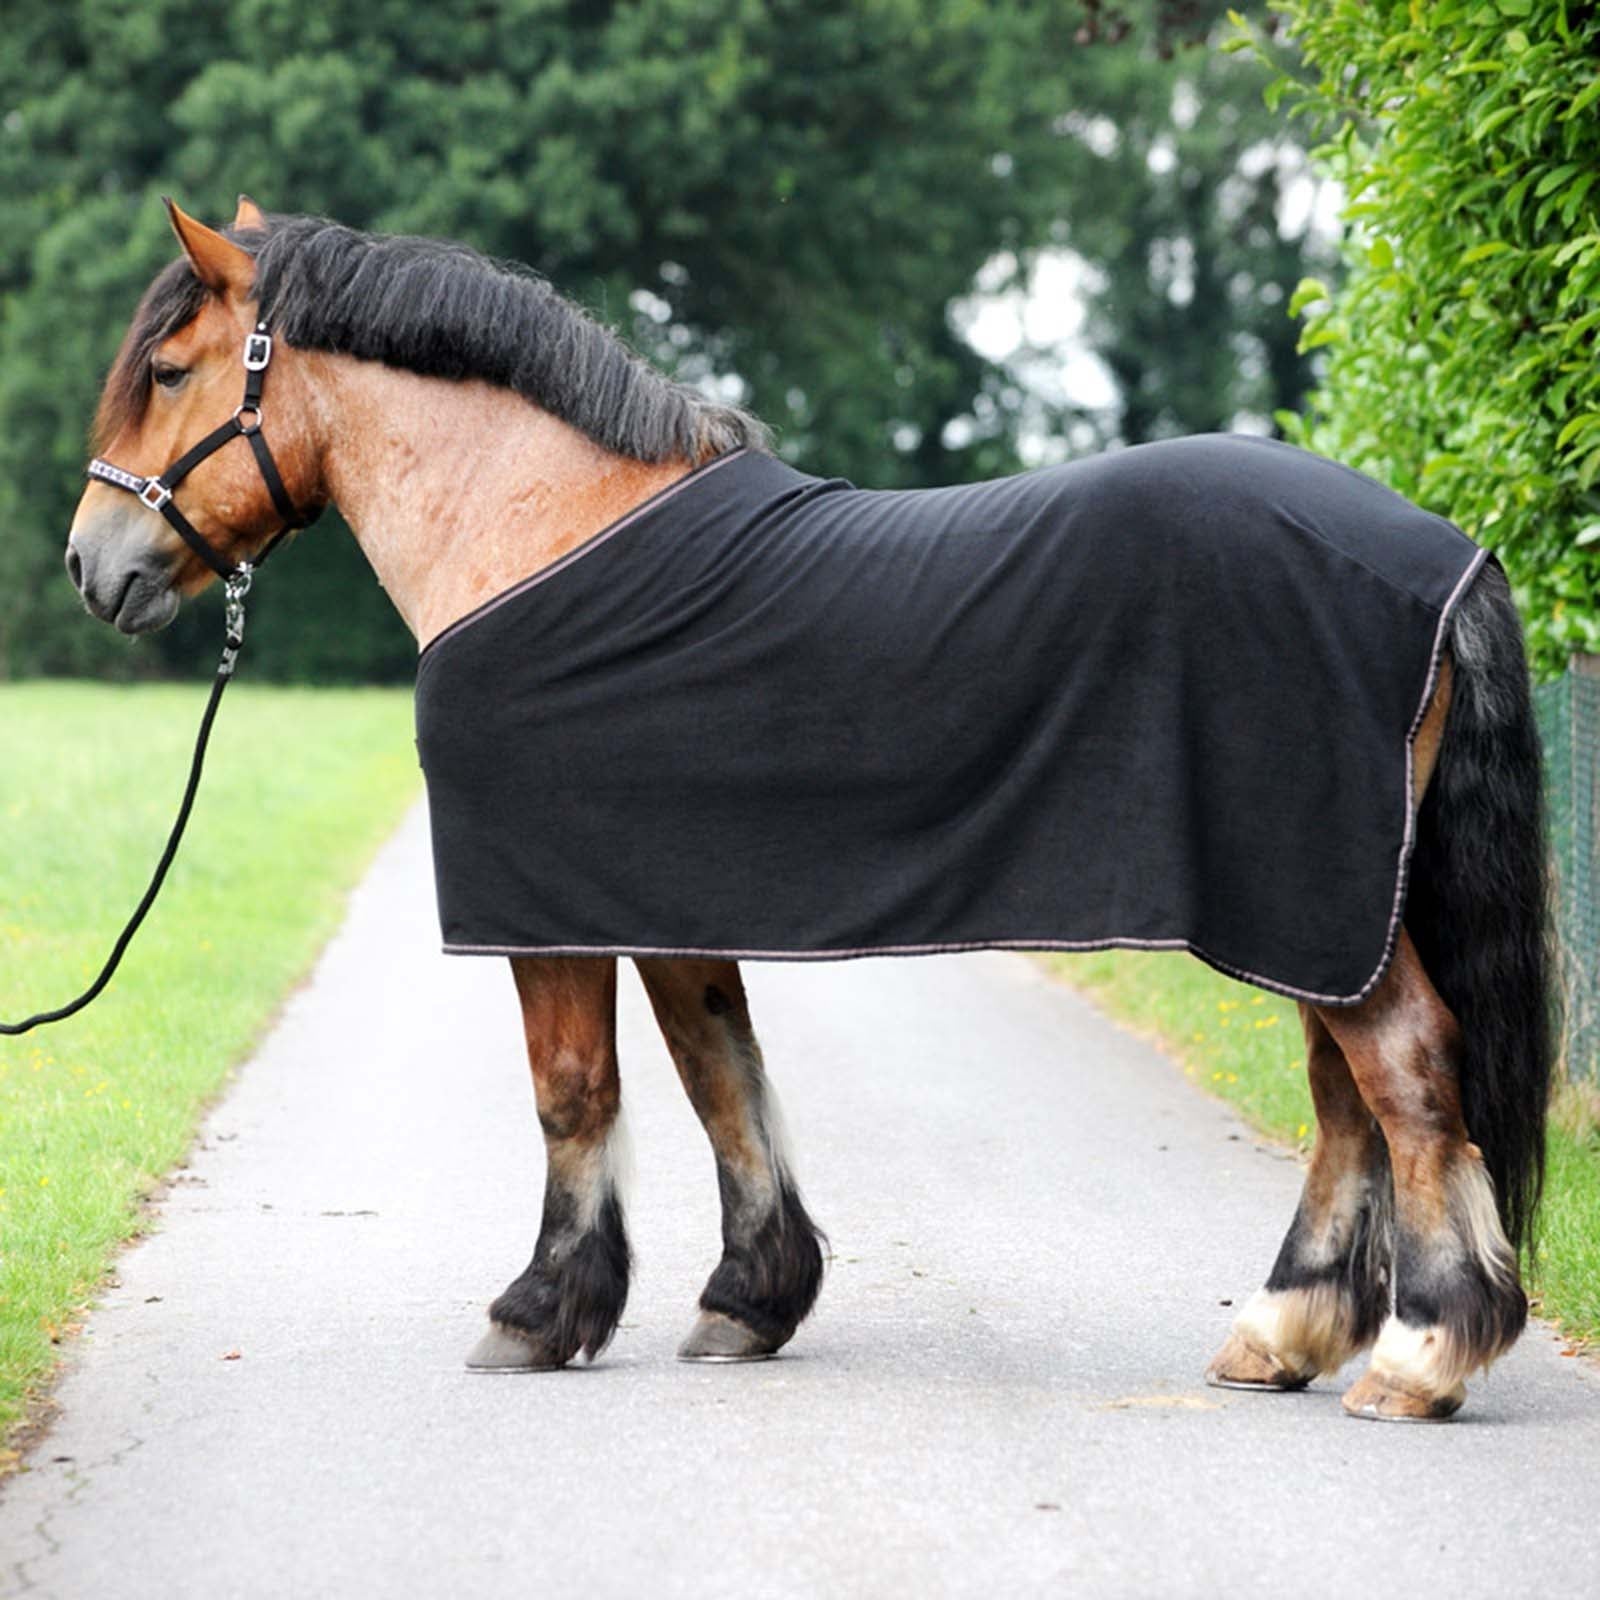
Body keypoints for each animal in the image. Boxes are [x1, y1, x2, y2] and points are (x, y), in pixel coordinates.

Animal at [65, 198, 1553, 1422]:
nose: (92, 566)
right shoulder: (668, 903)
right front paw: (749, 1300)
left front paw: (539, 1312)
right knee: (1347, 1100)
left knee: (1405, 1074)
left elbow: (574, 1093)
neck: (542, 528)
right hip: (1322, 913)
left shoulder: (547, 913)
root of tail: (1443, 552)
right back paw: (1284, 1333)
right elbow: (723, 1076)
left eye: (171, 372)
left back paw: (1419, 1355)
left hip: (1315, 907)